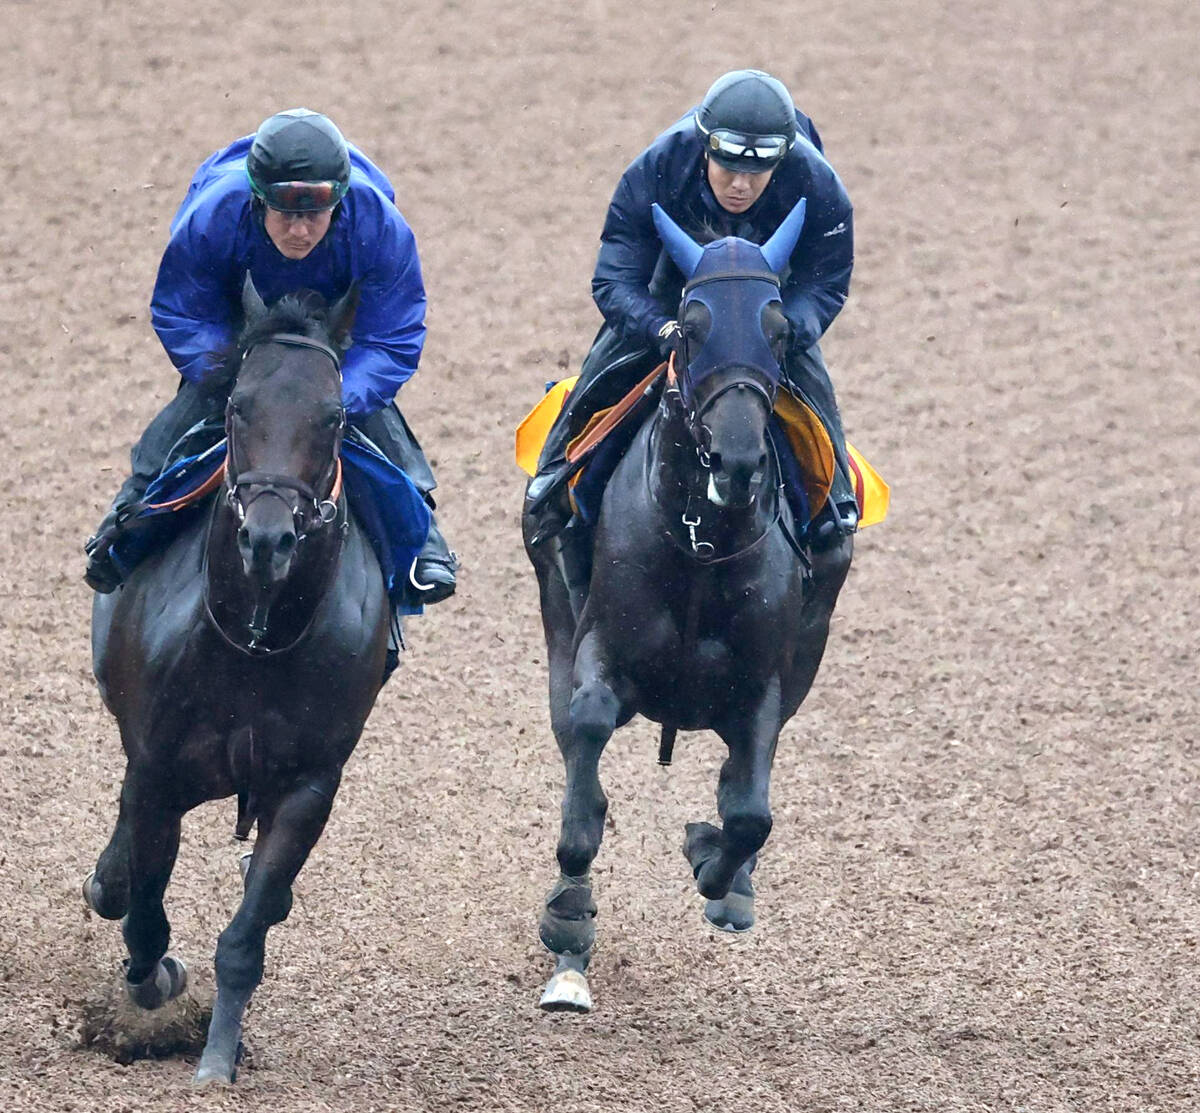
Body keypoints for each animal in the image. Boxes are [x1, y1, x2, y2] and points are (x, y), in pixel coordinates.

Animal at [84, 284, 391, 1084]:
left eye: (333, 416)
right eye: (236, 407)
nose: (269, 537)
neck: (256, 642)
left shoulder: (306, 786)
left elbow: (244, 938)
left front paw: (217, 1056)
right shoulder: (157, 769)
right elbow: (144, 913)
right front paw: (157, 981)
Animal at [522, 198, 854, 1011]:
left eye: (778, 329)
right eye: (691, 325)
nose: (737, 461)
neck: (701, 548)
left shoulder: (763, 684)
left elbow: (750, 812)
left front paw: (715, 864)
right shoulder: (601, 653)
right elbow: (585, 757)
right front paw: (569, 920)